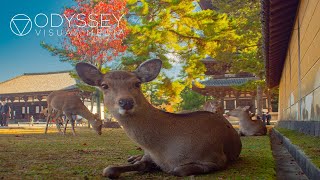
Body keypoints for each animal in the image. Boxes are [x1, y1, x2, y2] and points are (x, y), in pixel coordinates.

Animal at [74, 58, 240, 177]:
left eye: (137, 83)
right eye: (104, 85)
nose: (126, 102)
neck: (162, 150)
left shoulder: (217, 157)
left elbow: (176, 170)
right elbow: (109, 169)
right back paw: (133, 157)